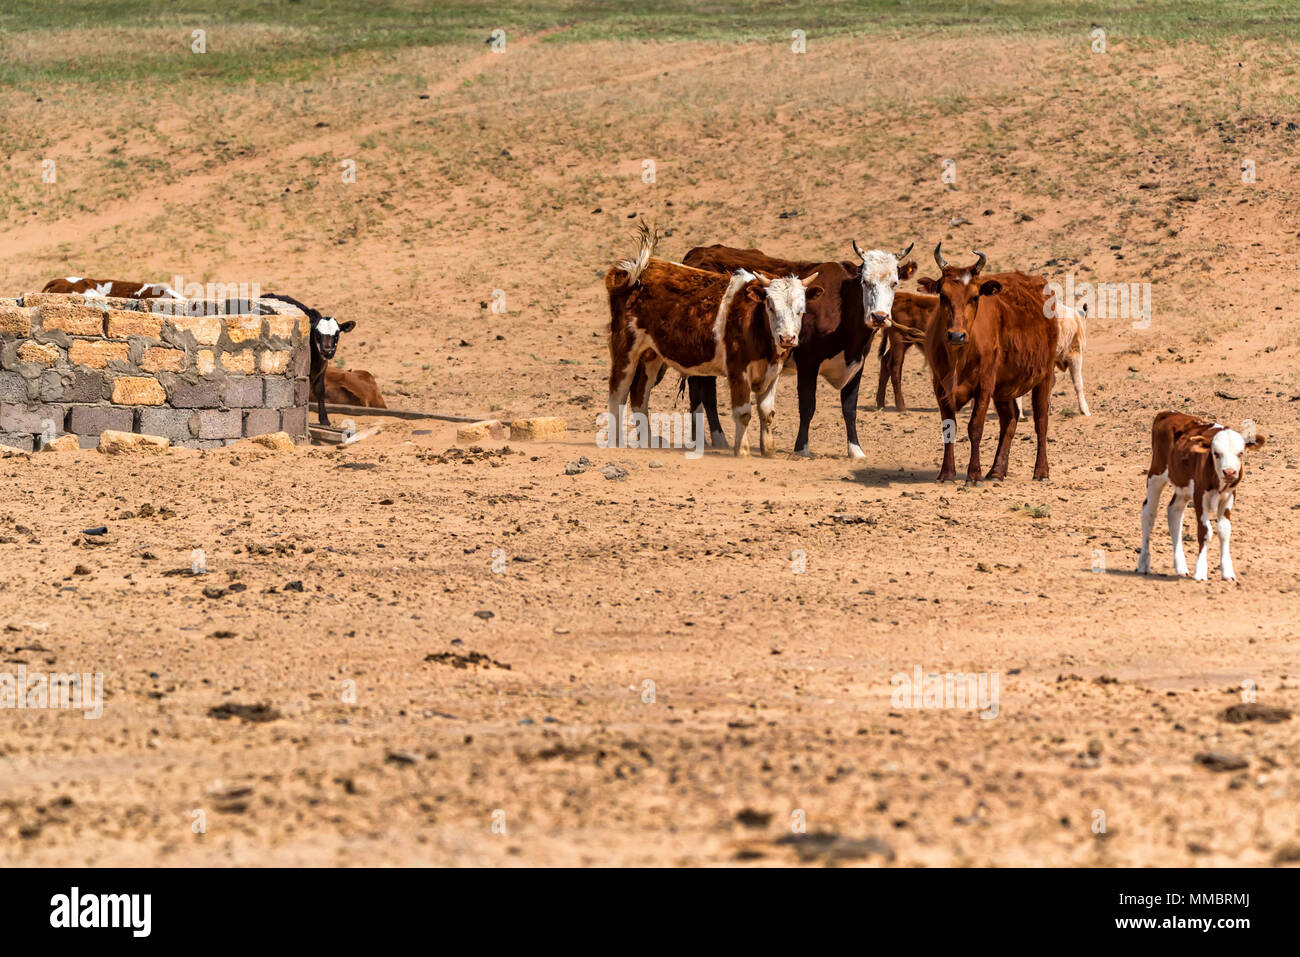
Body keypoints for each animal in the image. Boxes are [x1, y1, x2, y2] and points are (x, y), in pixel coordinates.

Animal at [261, 293, 356, 427]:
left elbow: (320, 390)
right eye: (317, 334)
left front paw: (324, 420)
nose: (327, 350)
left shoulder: (322, 369)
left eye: (337, 334)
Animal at [605, 225, 819, 457]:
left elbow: (767, 413)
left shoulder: (773, 372)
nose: (787, 338)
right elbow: (743, 413)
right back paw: (615, 441)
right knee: (618, 392)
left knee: (639, 395)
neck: (757, 325)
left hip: (651, 355)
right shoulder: (738, 371)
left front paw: (768, 451)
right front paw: (742, 451)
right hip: (626, 347)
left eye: (801, 309)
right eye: (770, 306)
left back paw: (646, 440)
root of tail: (639, 271)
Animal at [676, 241, 918, 457]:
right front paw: (802, 448)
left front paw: (855, 450)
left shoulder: (857, 364)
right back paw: (712, 439)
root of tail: (696, 254)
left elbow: (850, 409)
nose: (879, 317)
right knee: (703, 392)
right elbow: (808, 406)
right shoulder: (808, 364)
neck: (841, 309)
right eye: (865, 282)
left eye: (895, 283)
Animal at [916, 245, 1057, 483]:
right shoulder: (940, 386)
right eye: (943, 295)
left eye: (974, 297)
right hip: (1004, 388)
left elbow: (975, 427)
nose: (956, 335)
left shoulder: (985, 383)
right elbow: (948, 427)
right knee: (1009, 420)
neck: (958, 356)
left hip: (1044, 375)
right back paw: (997, 471)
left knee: (1041, 420)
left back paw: (1041, 471)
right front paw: (946, 473)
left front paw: (974, 474)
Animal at [1138, 412, 1266, 582]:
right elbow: (1204, 532)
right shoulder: (1199, 495)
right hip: (1156, 474)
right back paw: (1143, 563)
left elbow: (1224, 531)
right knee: (1149, 513)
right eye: (1216, 453)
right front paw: (1200, 571)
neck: (1218, 483)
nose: (1229, 472)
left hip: (1182, 486)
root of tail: (1167, 413)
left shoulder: (1229, 496)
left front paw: (1227, 572)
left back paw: (1180, 566)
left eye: (1240, 453)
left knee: (1174, 513)